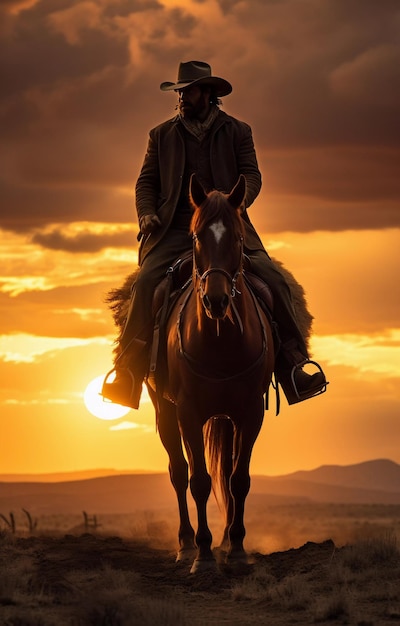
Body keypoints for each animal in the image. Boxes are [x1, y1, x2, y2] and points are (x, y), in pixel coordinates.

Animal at [144, 174, 276, 572]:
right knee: (178, 472)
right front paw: (202, 556)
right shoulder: (188, 412)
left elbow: (238, 479)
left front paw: (236, 549)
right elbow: (199, 480)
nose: (216, 300)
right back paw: (186, 544)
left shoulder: (249, 412)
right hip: (165, 411)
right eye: (198, 236)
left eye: (237, 238)